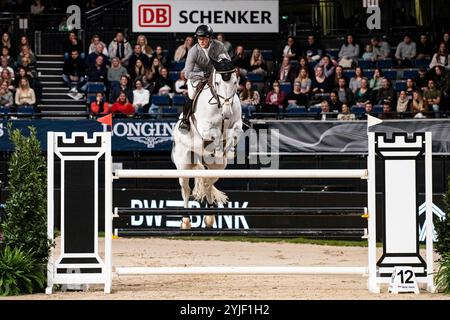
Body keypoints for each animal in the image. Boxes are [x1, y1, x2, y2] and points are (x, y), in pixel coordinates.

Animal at [171, 58, 243, 229]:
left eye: (235, 82)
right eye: (217, 83)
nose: (226, 113)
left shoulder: (237, 123)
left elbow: (234, 131)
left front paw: (229, 150)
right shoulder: (204, 127)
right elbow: (215, 133)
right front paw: (218, 148)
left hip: (217, 168)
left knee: (207, 182)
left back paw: (209, 216)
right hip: (184, 164)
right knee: (186, 189)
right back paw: (186, 221)